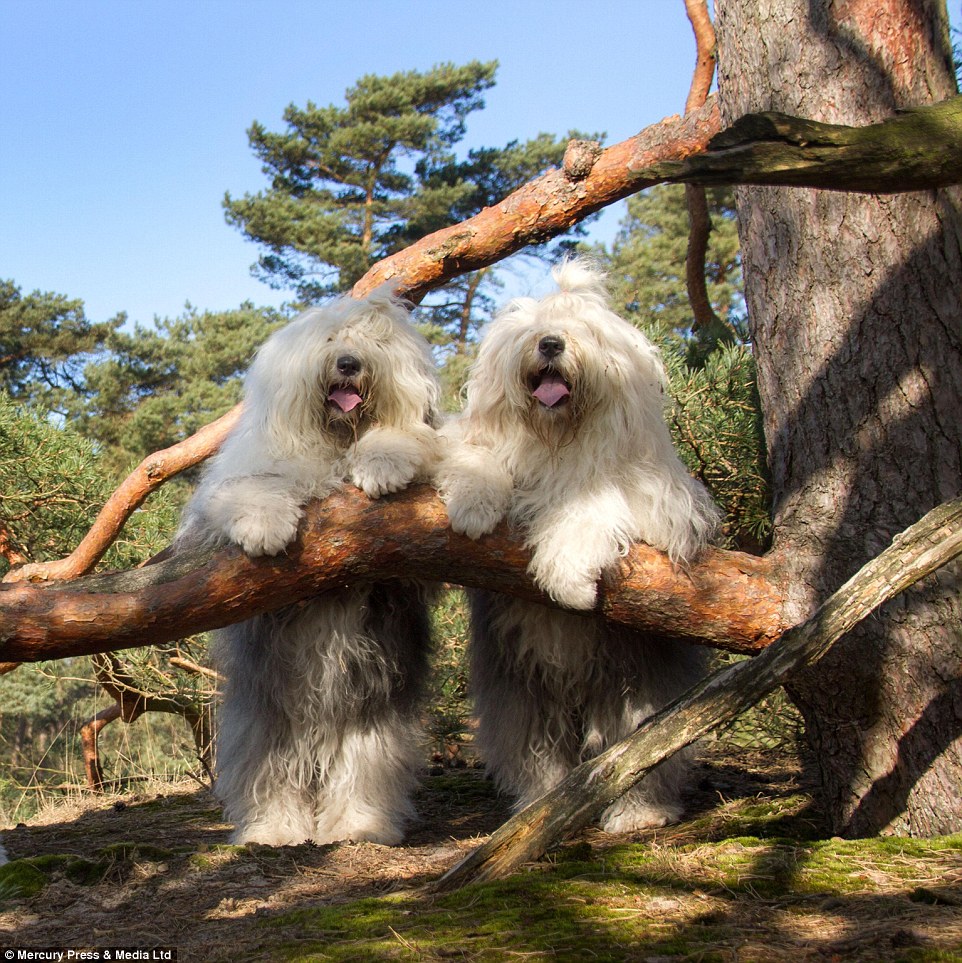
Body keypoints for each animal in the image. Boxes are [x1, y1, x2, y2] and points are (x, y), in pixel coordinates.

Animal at [178, 290, 440, 848]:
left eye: (373, 343)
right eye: (329, 339)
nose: (349, 363)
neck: (336, 443)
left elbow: (407, 442)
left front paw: (383, 464)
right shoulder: (230, 494)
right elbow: (253, 488)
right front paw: (266, 527)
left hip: (370, 717)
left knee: (363, 768)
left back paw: (359, 825)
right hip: (265, 713)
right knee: (267, 769)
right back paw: (273, 829)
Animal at [438, 260, 716, 832]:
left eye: (582, 329)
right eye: (528, 331)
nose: (549, 343)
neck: (555, 442)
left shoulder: (650, 498)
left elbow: (590, 508)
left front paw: (570, 584)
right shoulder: (480, 445)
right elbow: (475, 458)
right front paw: (473, 508)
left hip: (636, 692)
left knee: (639, 752)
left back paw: (640, 813)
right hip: (525, 692)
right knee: (539, 751)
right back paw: (538, 803)